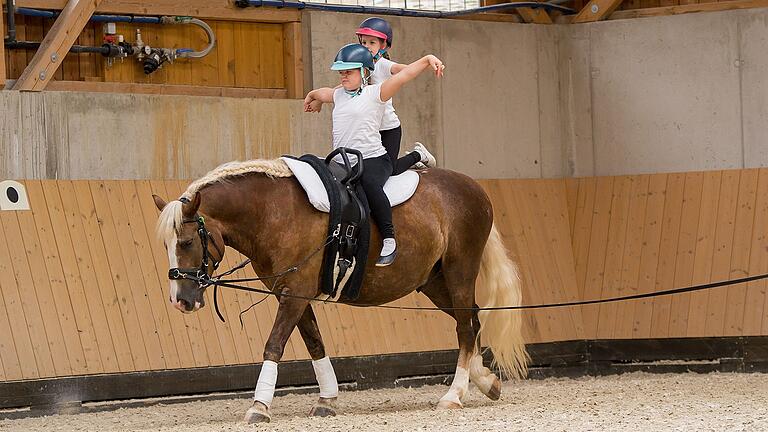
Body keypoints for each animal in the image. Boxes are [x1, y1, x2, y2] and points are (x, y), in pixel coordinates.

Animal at [154, 159, 532, 422]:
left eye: (186, 242)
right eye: (167, 245)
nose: (180, 301)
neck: (274, 212)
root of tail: (473, 188)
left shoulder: (294, 292)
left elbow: (274, 344)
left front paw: (259, 407)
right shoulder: (292, 293)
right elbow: (314, 343)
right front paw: (327, 399)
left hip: (459, 271)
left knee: (465, 327)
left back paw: (454, 394)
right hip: (434, 282)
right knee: (473, 321)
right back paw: (485, 382)